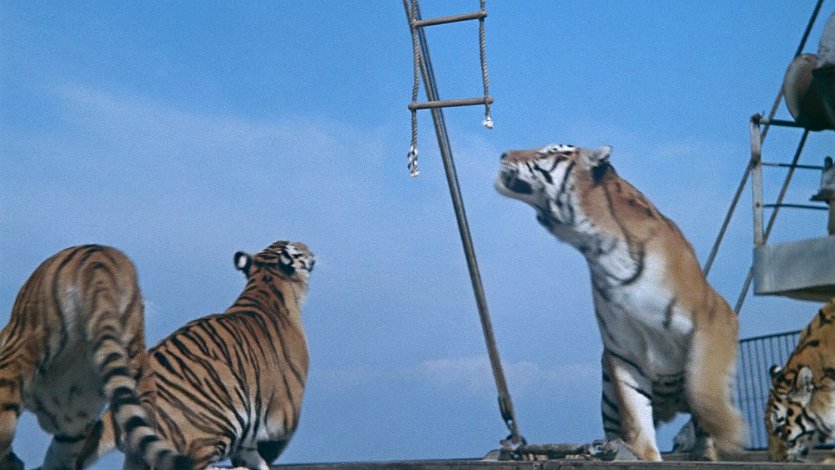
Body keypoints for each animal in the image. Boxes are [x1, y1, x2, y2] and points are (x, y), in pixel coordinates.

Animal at [75, 240, 315, 470]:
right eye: (299, 250)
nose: (311, 252)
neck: (265, 284)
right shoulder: (283, 415)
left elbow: (253, 456)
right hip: (216, 422)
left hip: (139, 455)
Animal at [495, 143, 745, 461]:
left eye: (548, 153)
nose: (503, 154)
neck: (600, 248)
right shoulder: (624, 354)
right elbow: (636, 419)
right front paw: (644, 455)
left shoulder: (717, 318)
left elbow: (704, 388)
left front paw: (731, 433)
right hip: (609, 403)